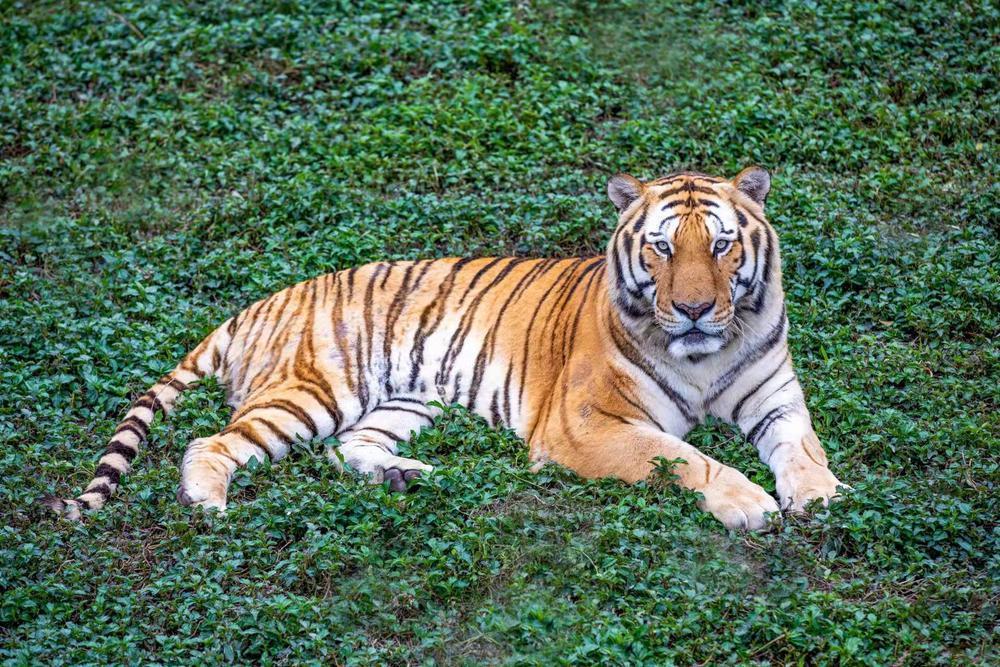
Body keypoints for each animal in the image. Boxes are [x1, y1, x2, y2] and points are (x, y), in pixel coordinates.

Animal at [43, 166, 846, 530]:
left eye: (721, 244)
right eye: (661, 248)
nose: (694, 308)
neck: (704, 355)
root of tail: (262, 300)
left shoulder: (776, 399)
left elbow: (804, 449)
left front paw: (822, 496)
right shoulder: (586, 426)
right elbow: (683, 457)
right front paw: (750, 502)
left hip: (403, 400)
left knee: (350, 448)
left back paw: (409, 478)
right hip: (314, 391)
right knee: (208, 442)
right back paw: (210, 506)